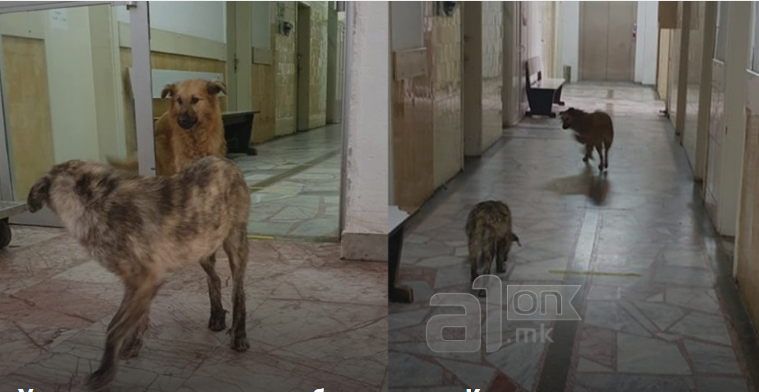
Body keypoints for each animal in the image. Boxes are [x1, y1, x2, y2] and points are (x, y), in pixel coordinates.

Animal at [26, 156, 251, 388]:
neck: (99, 200)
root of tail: (224, 160)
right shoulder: (138, 283)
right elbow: (136, 318)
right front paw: (132, 345)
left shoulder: (145, 278)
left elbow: (115, 327)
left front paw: (104, 372)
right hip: (202, 244)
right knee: (214, 279)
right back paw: (217, 315)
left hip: (234, 243)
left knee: (238, 291)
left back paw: (238, 334)